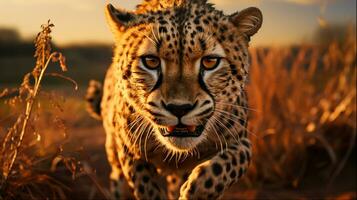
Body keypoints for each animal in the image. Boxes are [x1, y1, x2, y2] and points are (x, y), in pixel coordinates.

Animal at [84, 0, 260, 199]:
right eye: (151, 61)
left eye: (210, 62)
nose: (179, 108)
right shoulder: (129, 151)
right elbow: (146, 188)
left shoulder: (241, 142)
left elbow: (222, 168)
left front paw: (194, 191)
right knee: (117, 179)